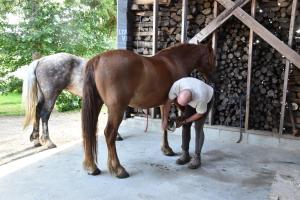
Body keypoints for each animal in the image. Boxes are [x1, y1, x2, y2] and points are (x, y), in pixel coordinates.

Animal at [81, 42, 214, 178]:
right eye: (212, 57)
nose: (213, 78)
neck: (176, 61)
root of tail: (98, 59)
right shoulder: (174, 100)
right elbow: (172, 120)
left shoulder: (163, 103)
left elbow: (164, 125)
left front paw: (166, 148)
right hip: (116, 109)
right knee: (109, 134)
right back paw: (118, 169)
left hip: (97, 104)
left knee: (88, 131)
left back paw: (91, 167)